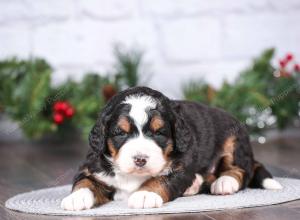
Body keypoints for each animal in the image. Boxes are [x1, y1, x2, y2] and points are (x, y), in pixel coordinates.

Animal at [60, 87, 282, 211]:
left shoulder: (181, 167)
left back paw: (224, 182)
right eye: (120, 132)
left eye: (159, 132)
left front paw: (145, 195)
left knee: (240, 169)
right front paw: (75, 198)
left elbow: (161, 179)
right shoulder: (93, 166)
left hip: (233, 139)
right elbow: (85, 182)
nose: (140, 159)